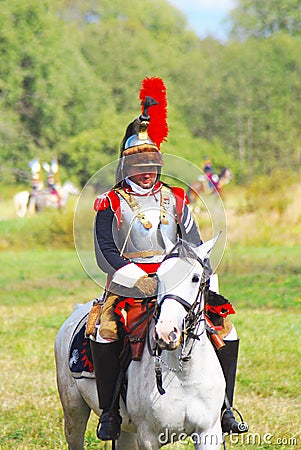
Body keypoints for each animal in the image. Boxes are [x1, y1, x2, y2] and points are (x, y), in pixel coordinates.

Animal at [54, 237, 224, 448]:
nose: (166, 332)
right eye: (159, 277)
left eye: (194, 278)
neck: (184, 375)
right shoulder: (148, 437)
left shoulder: (208, 433)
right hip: (74, 412)